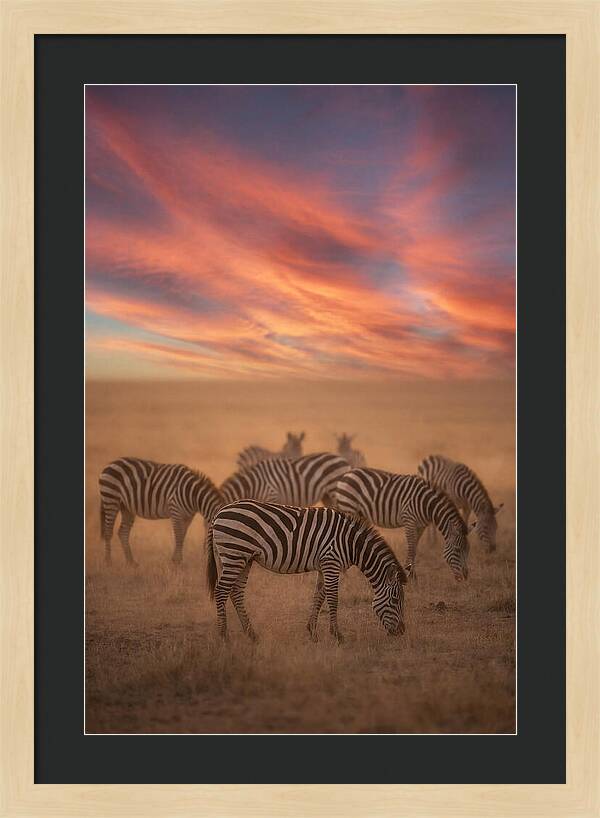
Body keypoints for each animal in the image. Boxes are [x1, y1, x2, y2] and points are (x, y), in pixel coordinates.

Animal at [206, 500, 407, 643]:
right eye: (395, 600)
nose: (401, 632)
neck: (351, 544)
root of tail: (219, 513)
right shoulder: (331, 562)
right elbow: (333, 599)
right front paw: (337, 635)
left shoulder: (324, 565)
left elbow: (319, 596)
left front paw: (312, 632)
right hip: (234, 553)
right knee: (221, 591)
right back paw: (224, 636)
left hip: (243, 558)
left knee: (236, 592)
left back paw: (252, 634)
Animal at [331, 468, 471, 581]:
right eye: (457, 550)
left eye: (468, 550)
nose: (465, 577)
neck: (427, 504)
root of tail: (346, 474)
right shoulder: (409, 520)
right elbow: (411, 547)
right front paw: (410, 575)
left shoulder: (421, 526)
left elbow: (415, 549)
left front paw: (413, 575)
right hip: (349, 506)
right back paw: (346, 575)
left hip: (361, 513)